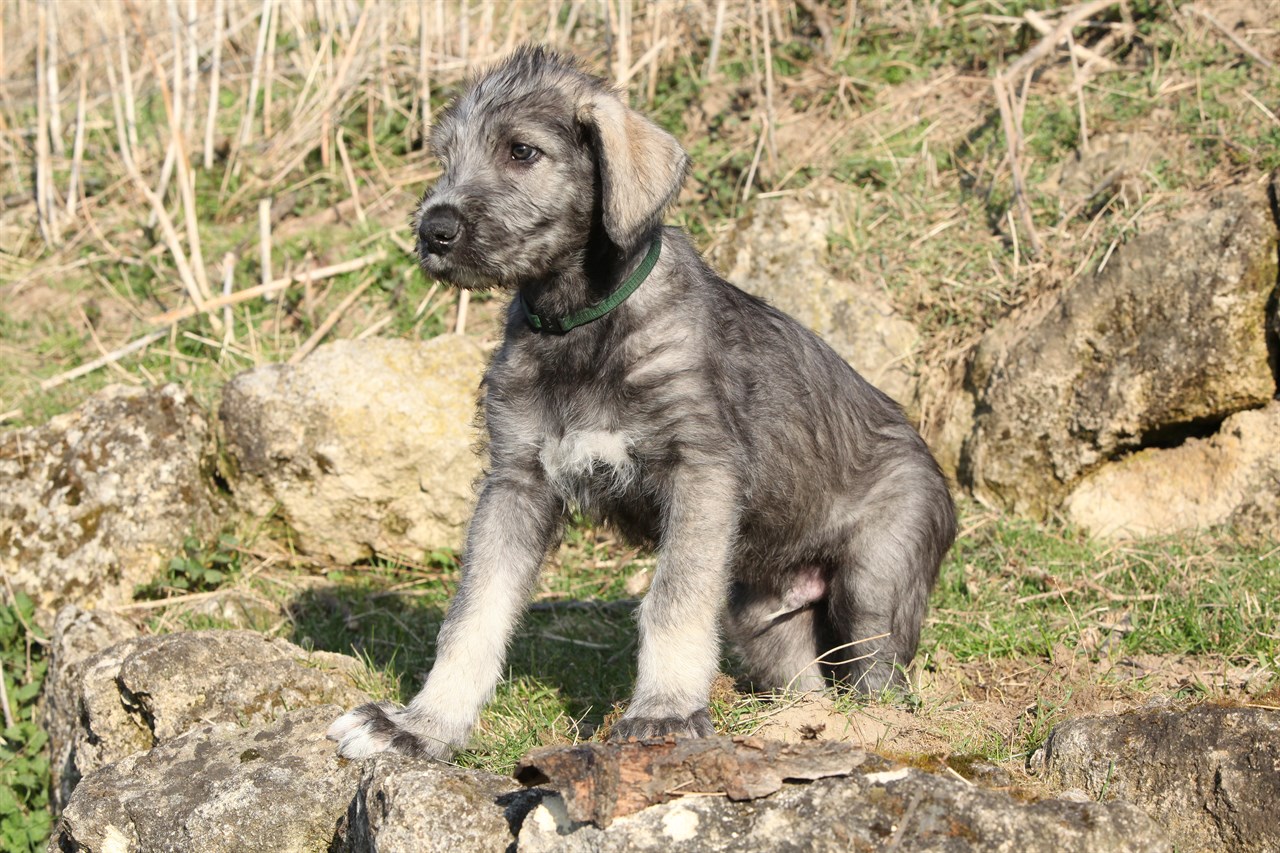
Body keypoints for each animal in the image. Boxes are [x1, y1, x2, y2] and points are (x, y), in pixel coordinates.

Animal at [325, 46, 957, 758]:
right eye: (445, 157)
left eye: (522, 151)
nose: (434, 230)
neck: (580, 325)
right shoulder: (516, 481)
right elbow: (474, 612)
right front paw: (422, 725)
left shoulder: (699, 470)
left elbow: (674, 600)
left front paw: (665, 711)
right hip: (762, 624)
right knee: (805, 682)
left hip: (875, 585)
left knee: (878, 678)